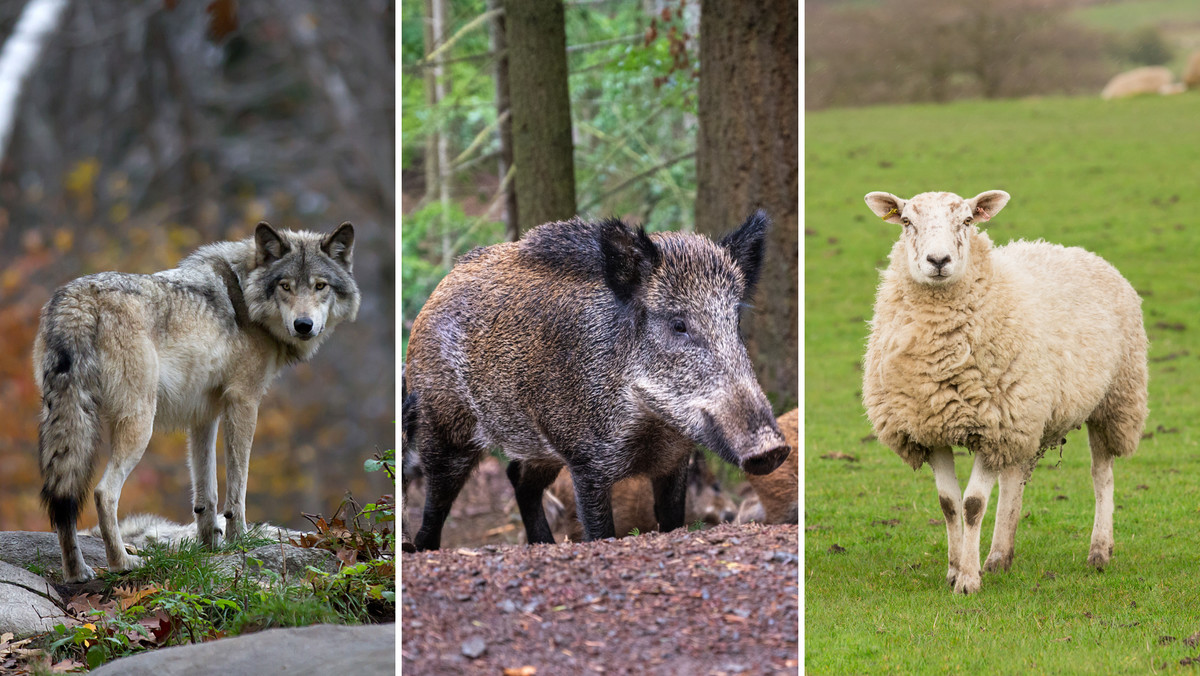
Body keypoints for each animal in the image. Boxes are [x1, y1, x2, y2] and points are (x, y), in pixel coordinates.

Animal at [35, 222, 357, 581]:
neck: (245, 295)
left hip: (66, 420)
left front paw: (209, 548)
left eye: (320, 286)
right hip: (139, 424)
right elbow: (237, 489)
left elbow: (207, 494)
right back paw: (123, 563)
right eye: (285, 286)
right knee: (104, 493)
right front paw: (237, 542)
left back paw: (77, 572)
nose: (304, 325)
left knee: (63, 498)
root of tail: (77, 299)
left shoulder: (204, 415)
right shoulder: (244, 402)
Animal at [408, 213, 787, 552]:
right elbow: (600, 530)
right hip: (443, 421)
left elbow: (672, 520)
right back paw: (419, 546)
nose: (773, 448)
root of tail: (438, 290)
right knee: (437, 496)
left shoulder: (674, 460)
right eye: (679, 324)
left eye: (735, 321)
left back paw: (544, 545)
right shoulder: (586, 460)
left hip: (539, 446)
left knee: (518, 478)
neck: (650, 424)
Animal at [859, 189, 1147, 593]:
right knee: (1016, 477)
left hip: (1114, 399)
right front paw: (955, 569)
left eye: (967, 220)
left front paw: (967, 580)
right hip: (1028, 414)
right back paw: (998, 557)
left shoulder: (992, 426)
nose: (938, 261)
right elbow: (948, 502)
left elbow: (972, 505)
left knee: (1101, 474)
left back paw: (1099, 551)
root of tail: (1077, 251)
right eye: (906, 221)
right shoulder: (931, 428)